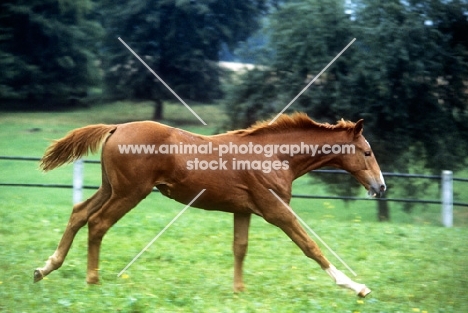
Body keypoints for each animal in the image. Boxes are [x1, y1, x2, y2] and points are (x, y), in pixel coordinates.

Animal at [32, 112, 384, 294]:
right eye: (367, 152)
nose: (380, 186)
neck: (275, 155)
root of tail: (116, 126)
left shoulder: (243, 211)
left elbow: (240, 248)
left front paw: (239, 291)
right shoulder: (276, 211)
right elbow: (310, 246)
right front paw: (355, 285)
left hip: (111, 188)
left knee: (79, 213)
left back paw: (45, 268)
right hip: (129, 193)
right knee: (98, 223)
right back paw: (92, 279)